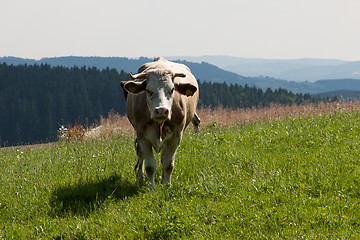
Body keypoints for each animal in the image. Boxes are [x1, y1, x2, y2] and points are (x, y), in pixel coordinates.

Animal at [121, 57, 200, 190]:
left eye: (172, 89)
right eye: (148, 90)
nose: (161, 110)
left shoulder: (176, 136)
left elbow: (168, 164)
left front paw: (167, 186)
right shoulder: (142, 136)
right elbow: (150, 166)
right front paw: (152, 189)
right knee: (140, 155)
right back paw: (140, 177)